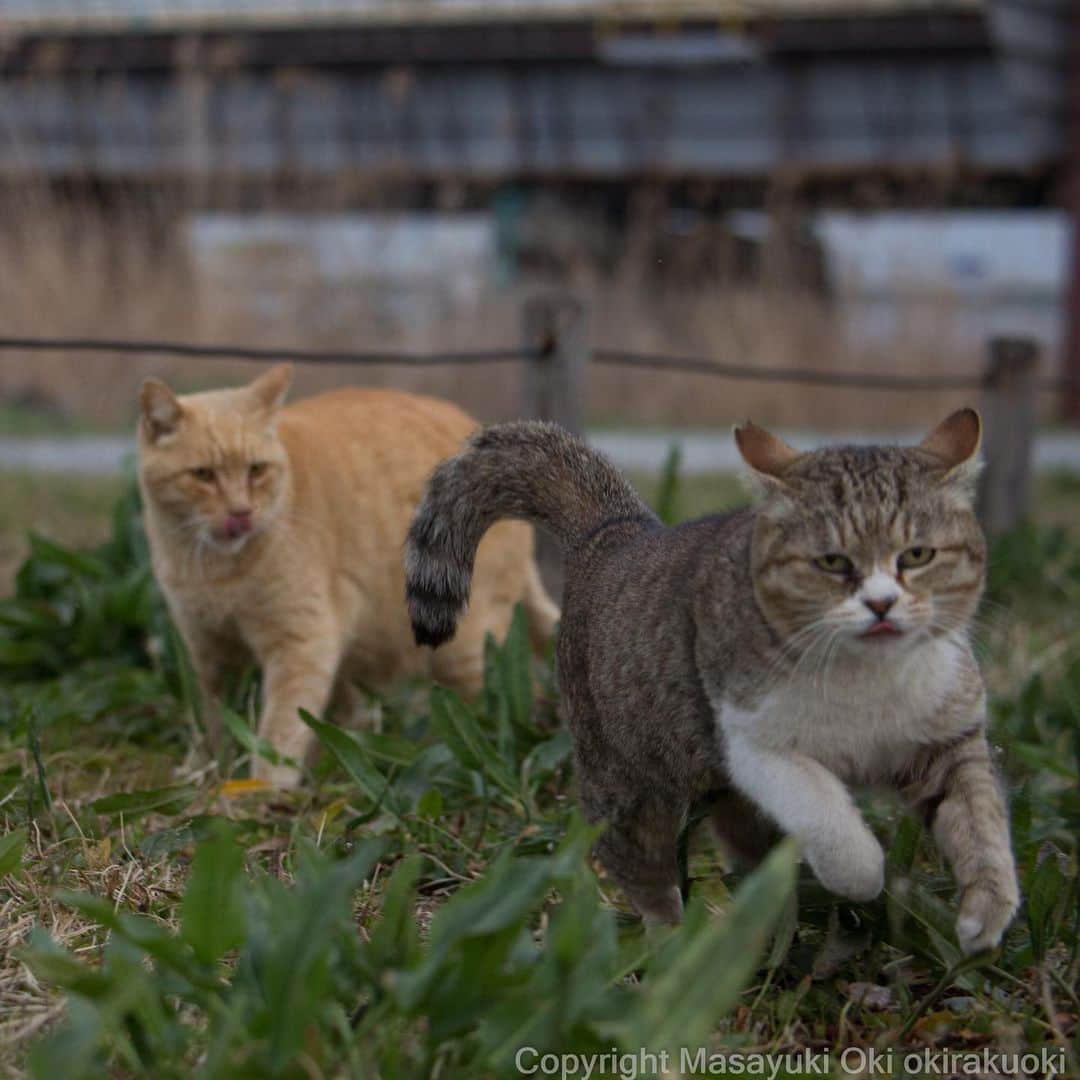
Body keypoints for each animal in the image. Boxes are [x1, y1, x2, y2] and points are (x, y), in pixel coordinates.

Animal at [137, 362, 557, 786]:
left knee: (509, 702)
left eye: (256, 470)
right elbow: (213, 719)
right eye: (203, 475)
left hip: (466, 651)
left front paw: (262, 787)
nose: (241, 512)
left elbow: (280, 729)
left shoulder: (303, 644)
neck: (214, 571)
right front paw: (206, 771)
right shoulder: (209, 652)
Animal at [406, 408, 1019, 950]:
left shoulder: (949, 737)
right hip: (627, 783)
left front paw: (987, 910)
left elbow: (979, 818)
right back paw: (669, 947)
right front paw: (864, 874)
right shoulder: (752, 743)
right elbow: (831, 823)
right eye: (831, 562)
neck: (869, 680)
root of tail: (613, 533)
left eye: (917, 555)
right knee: (637, 864)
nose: (882, 604)